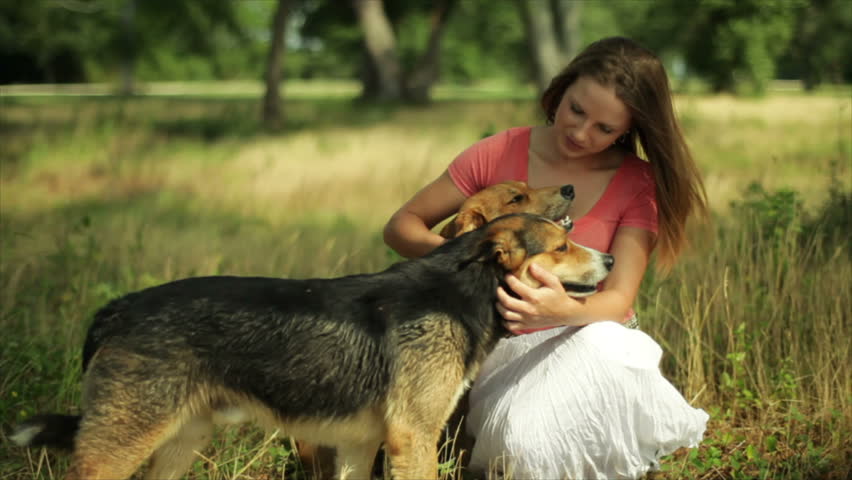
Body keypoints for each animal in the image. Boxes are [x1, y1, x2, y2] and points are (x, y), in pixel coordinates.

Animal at [13, 214, 612, 480]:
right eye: (562, 246)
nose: (610, 260)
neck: (461, 291)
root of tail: (118, 308)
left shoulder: (359, 445)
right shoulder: (412, 438)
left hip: (180, 441)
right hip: (120, 444)